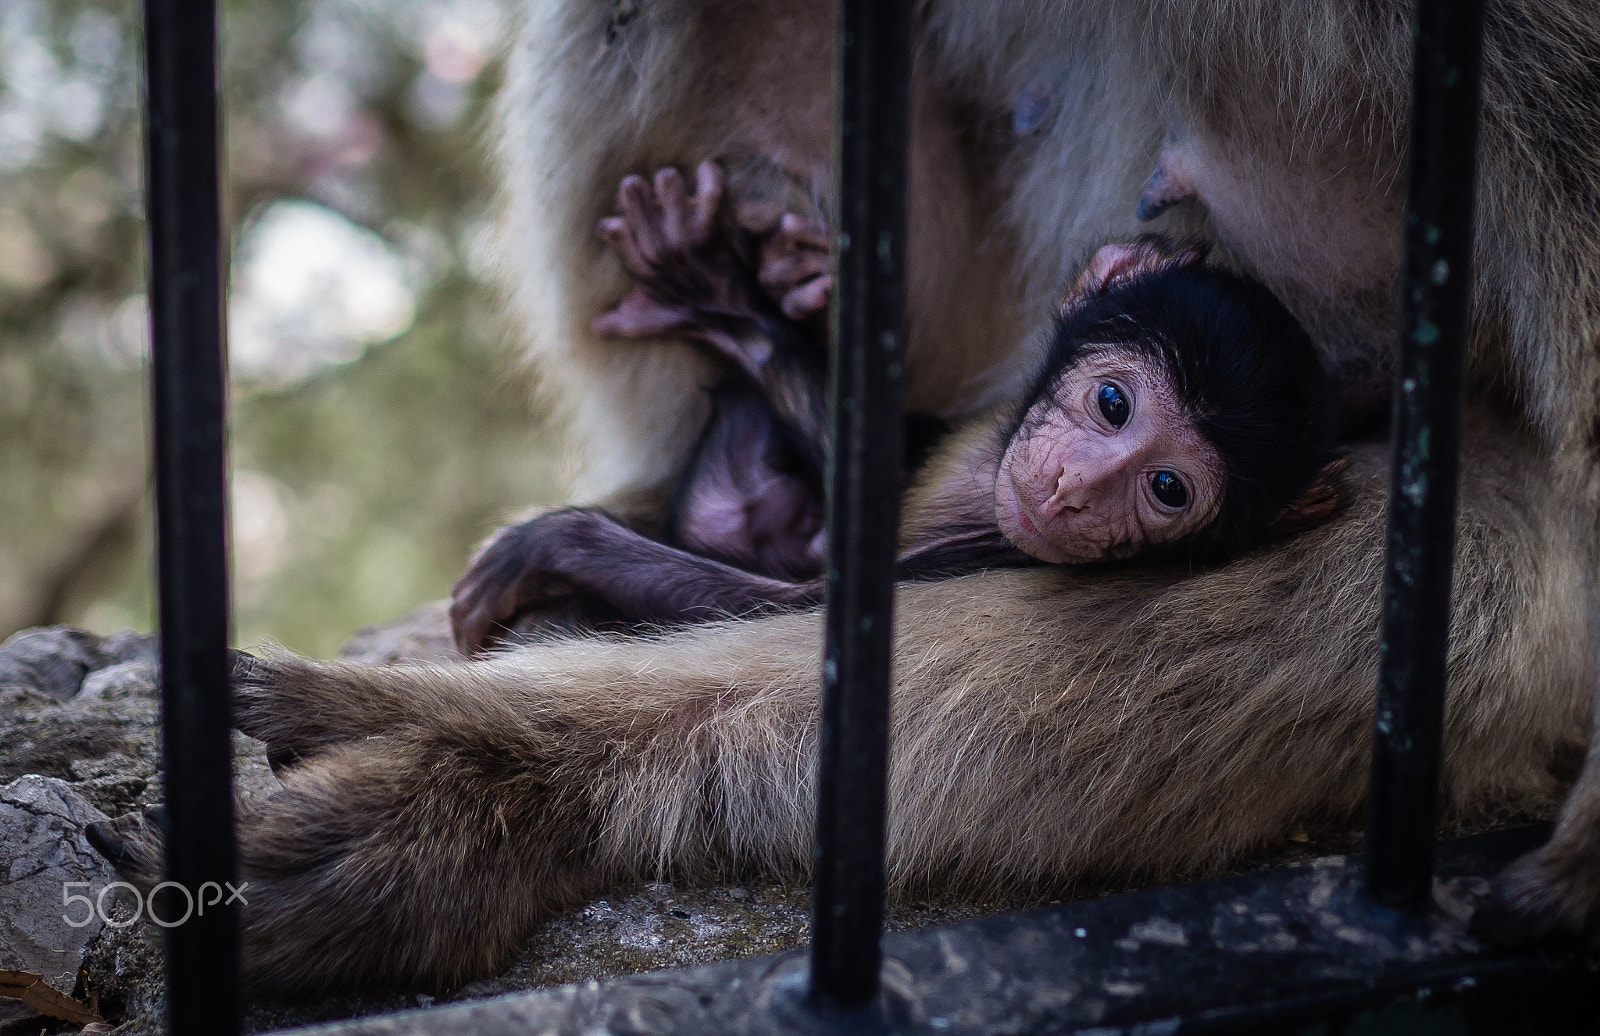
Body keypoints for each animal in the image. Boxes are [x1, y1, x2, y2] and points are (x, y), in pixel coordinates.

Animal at [448, 161, 1337, 652]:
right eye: (1113, 402)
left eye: (1167, 489)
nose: (1076, 489)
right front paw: (727, 298)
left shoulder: (982, 562)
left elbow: (797, 609)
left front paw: (554, 543)